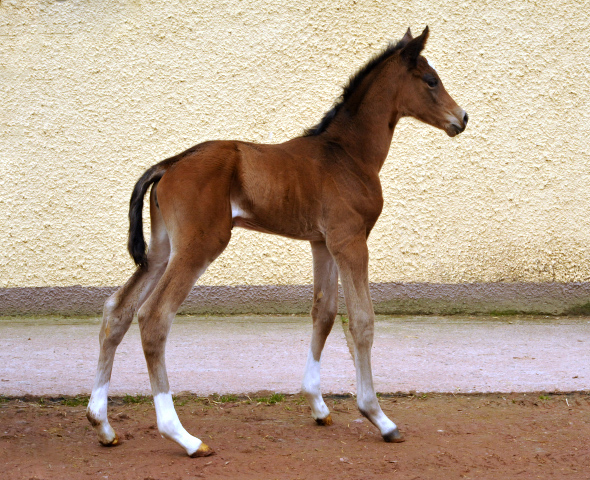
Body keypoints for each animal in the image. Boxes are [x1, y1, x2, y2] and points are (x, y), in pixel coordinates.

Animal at [88, 27, 470, 458]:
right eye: (431, 80)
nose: (461, 118)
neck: (346, 155)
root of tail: (169, 164)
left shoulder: (323, 244)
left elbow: (324, 313)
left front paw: (318, 406)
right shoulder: (351, 242)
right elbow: (362, 321)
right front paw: (379, 417)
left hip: (161, 249)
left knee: (117, 310)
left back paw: (102, 424)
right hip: (199, 246)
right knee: (154, 317)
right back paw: (184, 437)